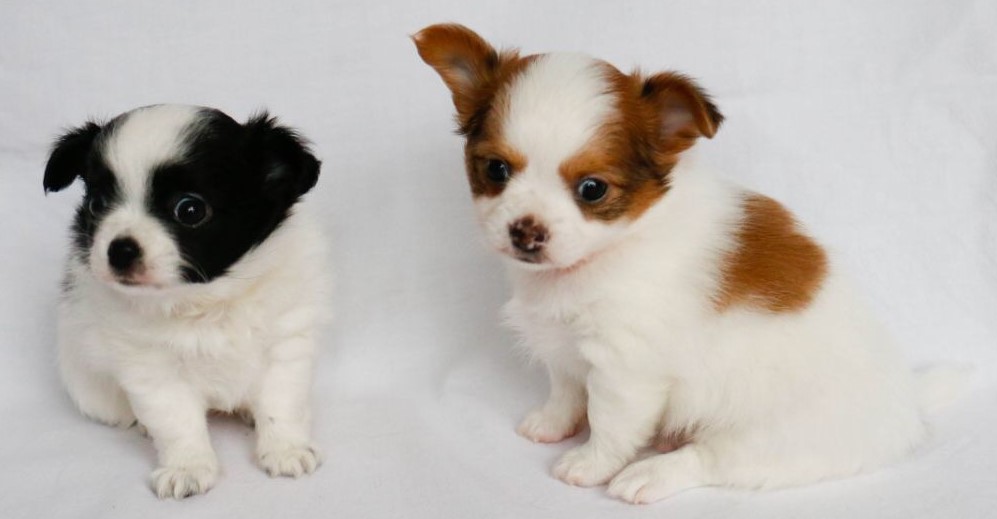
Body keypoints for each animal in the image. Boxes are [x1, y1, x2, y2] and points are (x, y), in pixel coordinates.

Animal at [44, 105, 329, 499]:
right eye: (97, 205)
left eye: (190, 210)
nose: (119, 250)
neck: (207, 301)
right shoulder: (152, 370)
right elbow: (176, 421)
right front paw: (188, 467)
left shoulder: (286, 343)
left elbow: (281, 402)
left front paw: (286, 449)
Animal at [414, 24, 963, 503]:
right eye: (495, 170)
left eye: (591, 189)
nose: (526, 231)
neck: (605, 253)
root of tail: (906, 402)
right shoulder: (564, 346)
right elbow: (566, 389)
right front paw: (552, 424)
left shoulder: (625, 369)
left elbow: (610, 422)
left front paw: (589, 464)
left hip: (773, 439)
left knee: (710, 459)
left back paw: (649, 474)